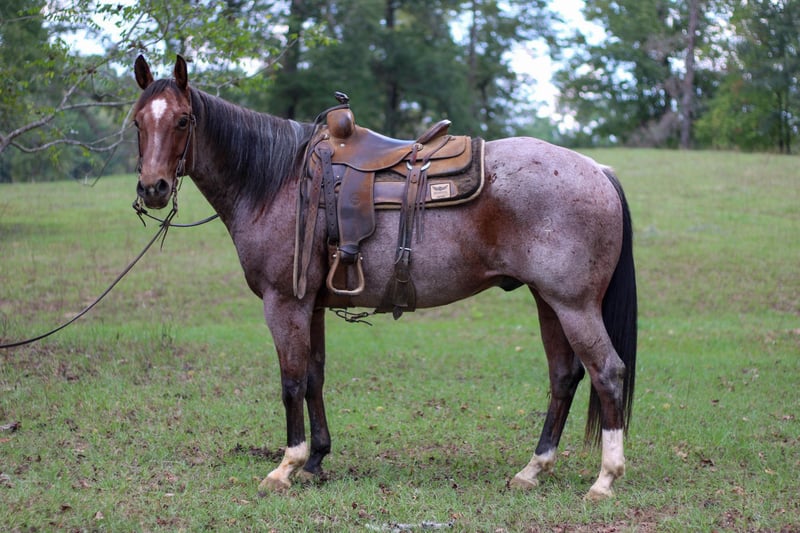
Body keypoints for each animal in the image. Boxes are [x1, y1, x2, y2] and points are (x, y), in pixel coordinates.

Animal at [131, 55, 637, 501]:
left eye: (182, 120)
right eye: (138, 121)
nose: (153, 188)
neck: (279, 183)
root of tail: (598, 170)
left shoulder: (284, 303)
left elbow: (291, 380)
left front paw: (286, 466)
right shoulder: (311, 305)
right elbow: (313, 376)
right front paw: (316, 460)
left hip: (573, 305)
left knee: (608, 372)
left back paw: (605, 479)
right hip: (547, 301)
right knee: (564, 376)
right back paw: (533, 470)